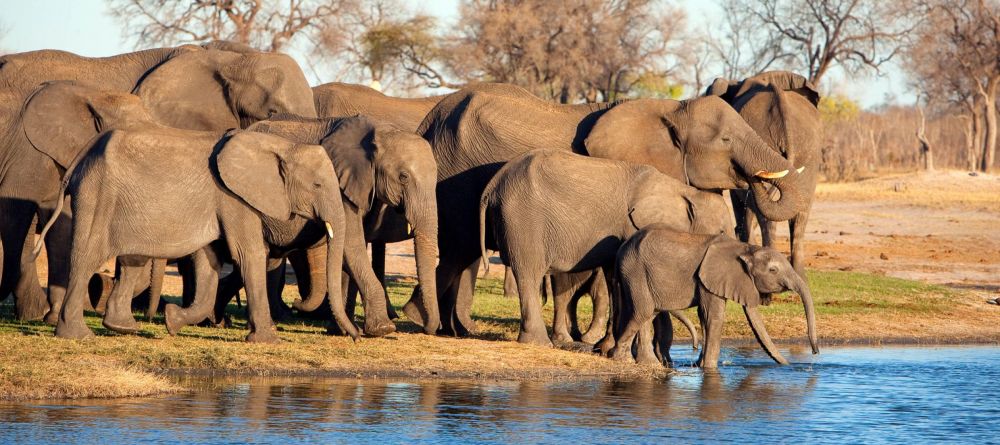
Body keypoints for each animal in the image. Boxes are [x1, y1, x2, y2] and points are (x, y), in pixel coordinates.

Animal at [36, 126, 352, 342]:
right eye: (317, 185)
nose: (355, 337)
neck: (280, 145)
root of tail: (82, 155)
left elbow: (208, 260)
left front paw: (172, 321)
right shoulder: (233, 197)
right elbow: (248, 254)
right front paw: (269, 340)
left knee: (130, 260)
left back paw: (124, 328)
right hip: (98, 194)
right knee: (87, 257)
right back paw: (77, 335)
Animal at [410, 80, 808, 336]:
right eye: (725, 140)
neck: (671, 110)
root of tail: (428, 120)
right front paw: (594, 340)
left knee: (461, 256)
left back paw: (448, 328)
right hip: (454, 176)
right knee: (458, 250)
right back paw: (430, 323)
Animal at [612, 227, 816, 366]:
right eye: (773, 270)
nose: (815, 351)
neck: (746, 248)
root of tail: (622, 247)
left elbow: (704, 316)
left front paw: (700, 365)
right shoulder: (710, 277)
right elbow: (714, 316)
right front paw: (709, 369)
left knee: (646, 313)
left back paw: (644, 362)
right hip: (635, 270)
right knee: (643, 311)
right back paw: (623, 359)